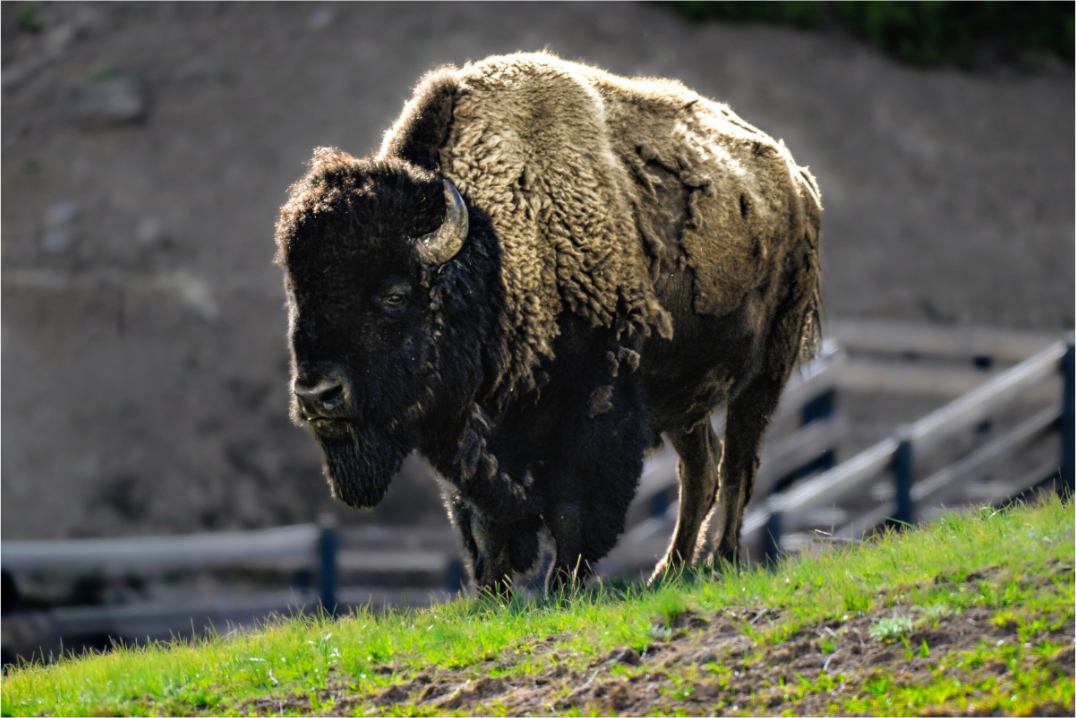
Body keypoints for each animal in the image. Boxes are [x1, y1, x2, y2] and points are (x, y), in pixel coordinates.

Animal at [275, 52, 822, 595]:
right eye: (298, 295)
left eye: (393, 295)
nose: (317, 395)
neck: (499, 253)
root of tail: (798, 180)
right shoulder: (470, 439)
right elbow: (484, 525)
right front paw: (492, 594)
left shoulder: (594, 409)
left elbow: (571, 511)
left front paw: (563, 586)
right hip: (684, 396)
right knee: (700, 467)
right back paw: (669, 572)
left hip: (765, 374)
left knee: (737, 464)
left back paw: (721, 561)